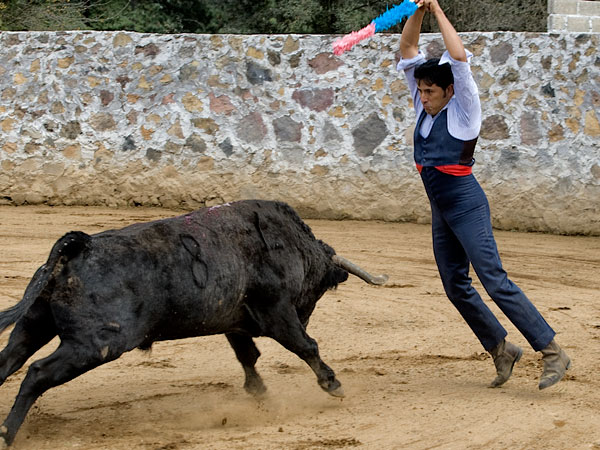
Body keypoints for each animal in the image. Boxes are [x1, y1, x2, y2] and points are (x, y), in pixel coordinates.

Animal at [0, 200, 386, 442]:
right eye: (319, 291)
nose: (307, 315)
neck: (294, 247)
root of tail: (81, 246)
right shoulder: (278, 312)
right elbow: (305, 346)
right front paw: (332, 383)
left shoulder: (236, 322)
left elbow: (247, 356)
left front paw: (259, 393)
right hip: (98, 344)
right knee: (37, 373)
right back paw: (7, 433)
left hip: (34, 325)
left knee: (9, 360)